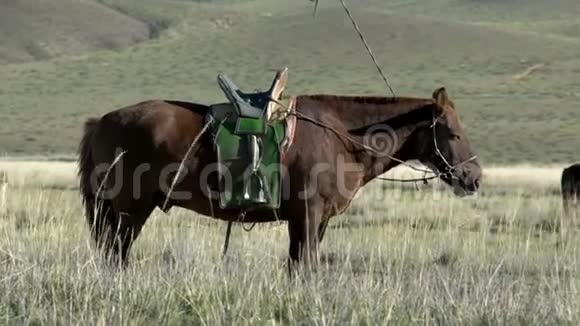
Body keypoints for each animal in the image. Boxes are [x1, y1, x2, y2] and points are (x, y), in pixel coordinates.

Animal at [79, 86, 482, 268]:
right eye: (453, 134)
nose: (474, 177)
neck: (341, 136)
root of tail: (103, 120)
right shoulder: (308, 215)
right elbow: (307, 265)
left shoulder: (310, 221)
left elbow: (298, 264)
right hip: (130, 210)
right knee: (116, 254)